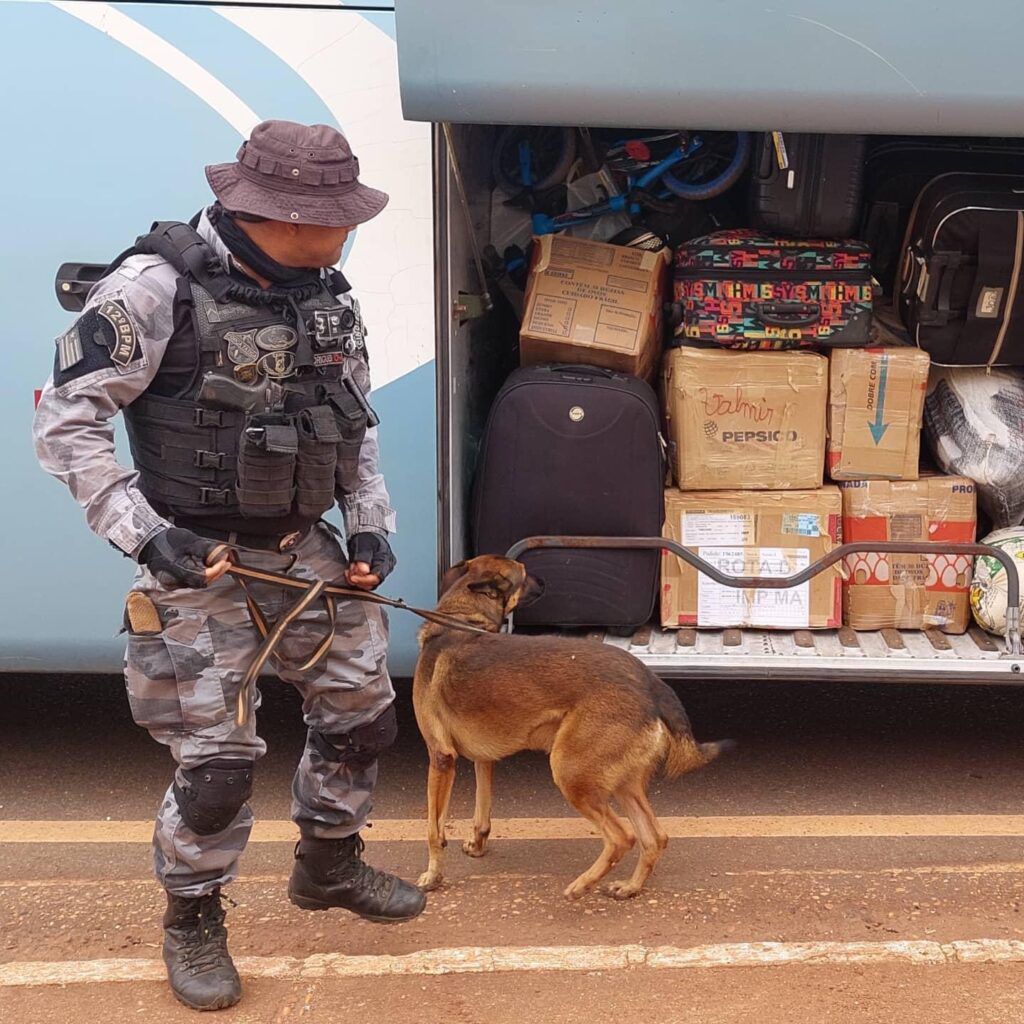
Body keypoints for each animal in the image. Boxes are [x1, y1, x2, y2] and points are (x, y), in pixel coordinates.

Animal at [411, 557, 733, 901]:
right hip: (621, 783)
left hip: (570, 773)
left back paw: (582, 885)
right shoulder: (482, 760)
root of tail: (652, 684)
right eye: (523, 574)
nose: (545, 582)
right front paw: (476, 845)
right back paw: (629, 887)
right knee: (654, 837)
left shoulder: (441, 758)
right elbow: (478, 812)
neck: (457, 621)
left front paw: (433, 876)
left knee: (622, 837)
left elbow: (433, 829)